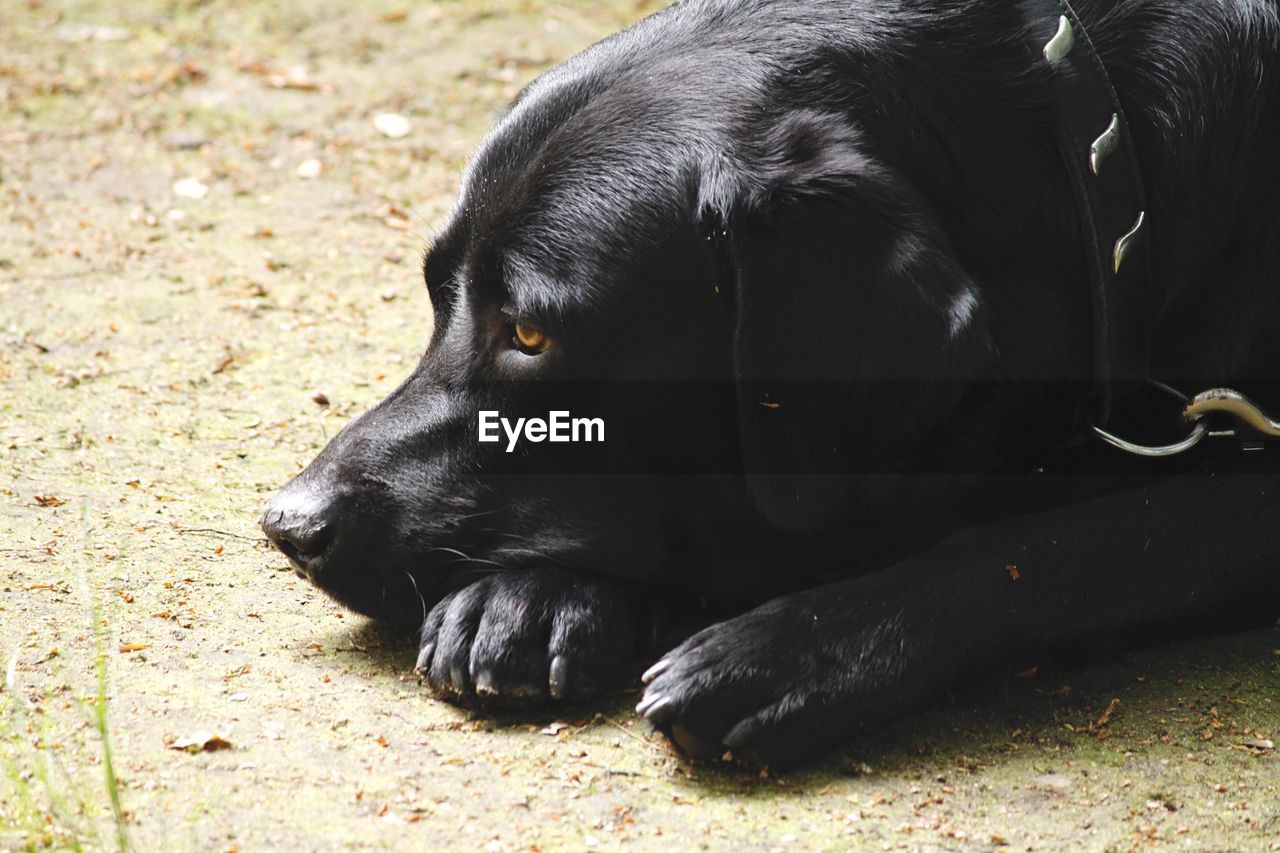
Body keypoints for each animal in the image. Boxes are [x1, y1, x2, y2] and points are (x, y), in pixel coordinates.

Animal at [262, 0, 1280, 768]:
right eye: (438, 293)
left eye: (530, 333)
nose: (288, 525)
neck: (1105, 164)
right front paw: (530, 598)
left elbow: (1067, 541)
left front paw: (789, 652)